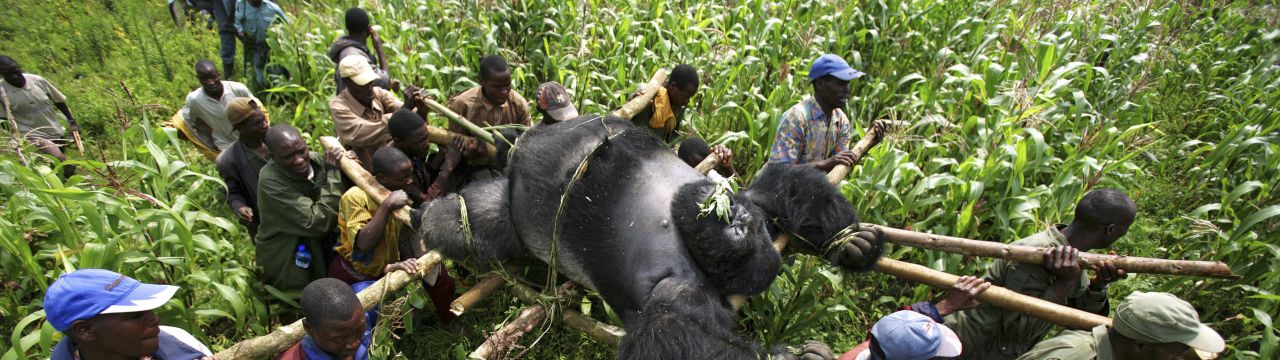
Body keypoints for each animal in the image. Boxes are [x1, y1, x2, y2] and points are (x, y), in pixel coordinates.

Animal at [414, 115, 885, 358]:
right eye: (740, 223)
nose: (733, 216)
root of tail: (518, 148)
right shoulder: (749, 203)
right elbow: (780, 183)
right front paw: (851, 242)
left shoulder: (684, 289)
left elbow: (670, 334)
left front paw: (850, 245)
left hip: (516, 209)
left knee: (477, 221)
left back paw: (441, 217)